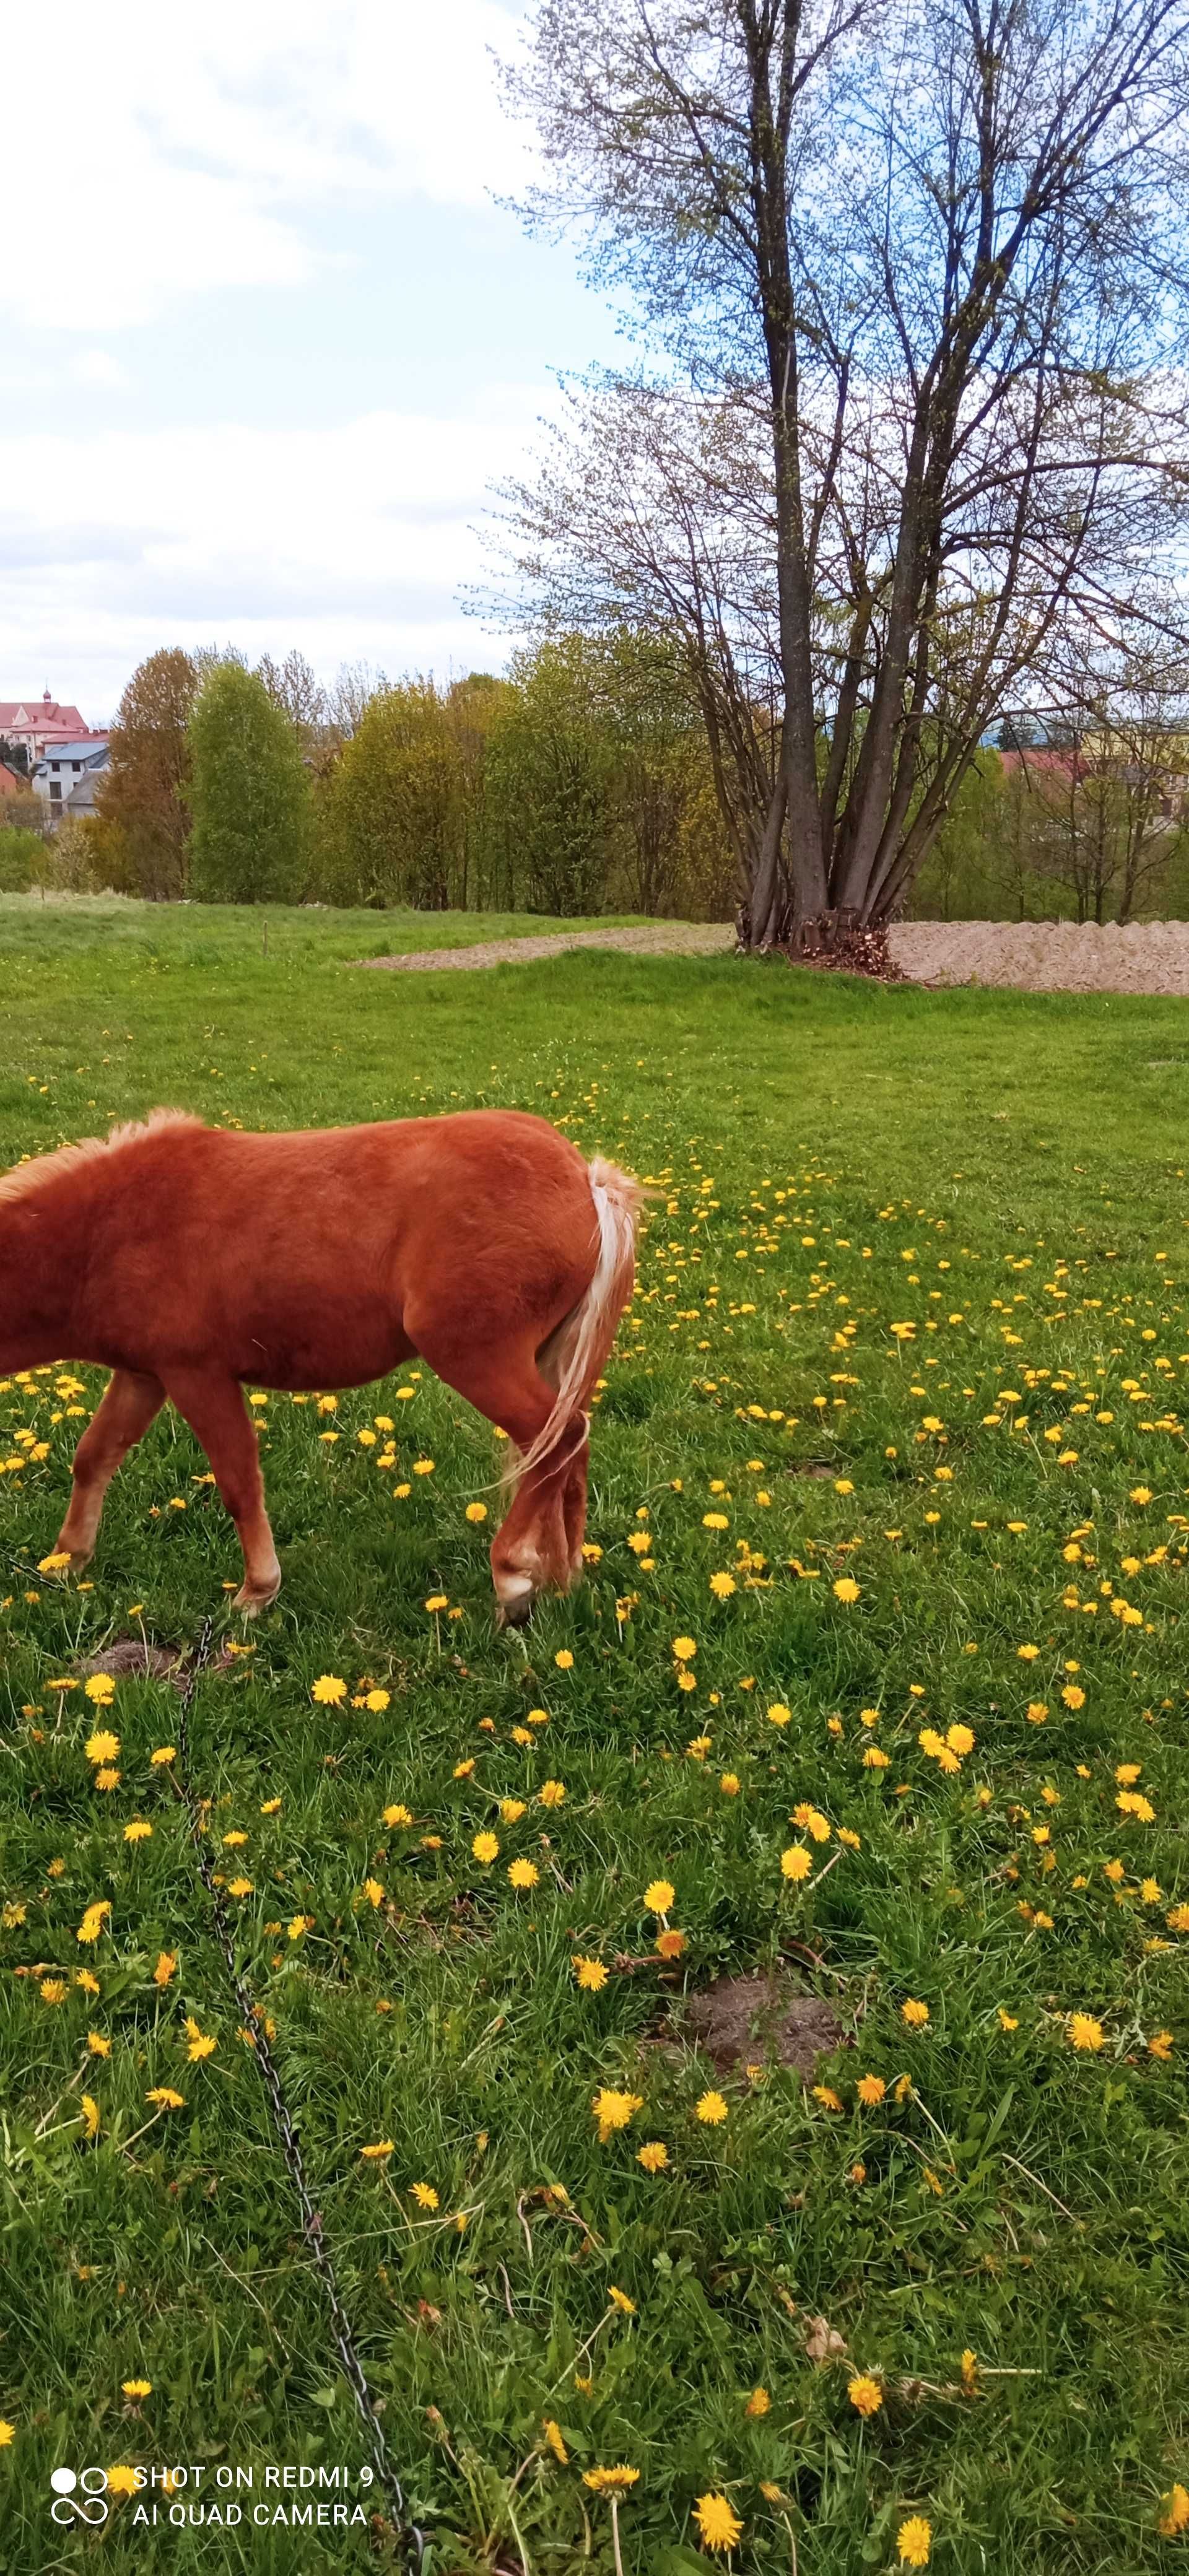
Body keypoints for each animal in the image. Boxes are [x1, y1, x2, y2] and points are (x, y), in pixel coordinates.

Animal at [0, 1102, 640, 1607]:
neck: (110, 1227)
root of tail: (584, 1179)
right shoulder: (143, 1376)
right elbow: (93, 1457)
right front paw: (68, 1560)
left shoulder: (196, 1376)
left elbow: (239, 1483)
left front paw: (257, 1591)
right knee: (563, 1450)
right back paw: (564, 1578)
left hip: (477, 1360)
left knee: (557, 1440)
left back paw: (513, 1576)